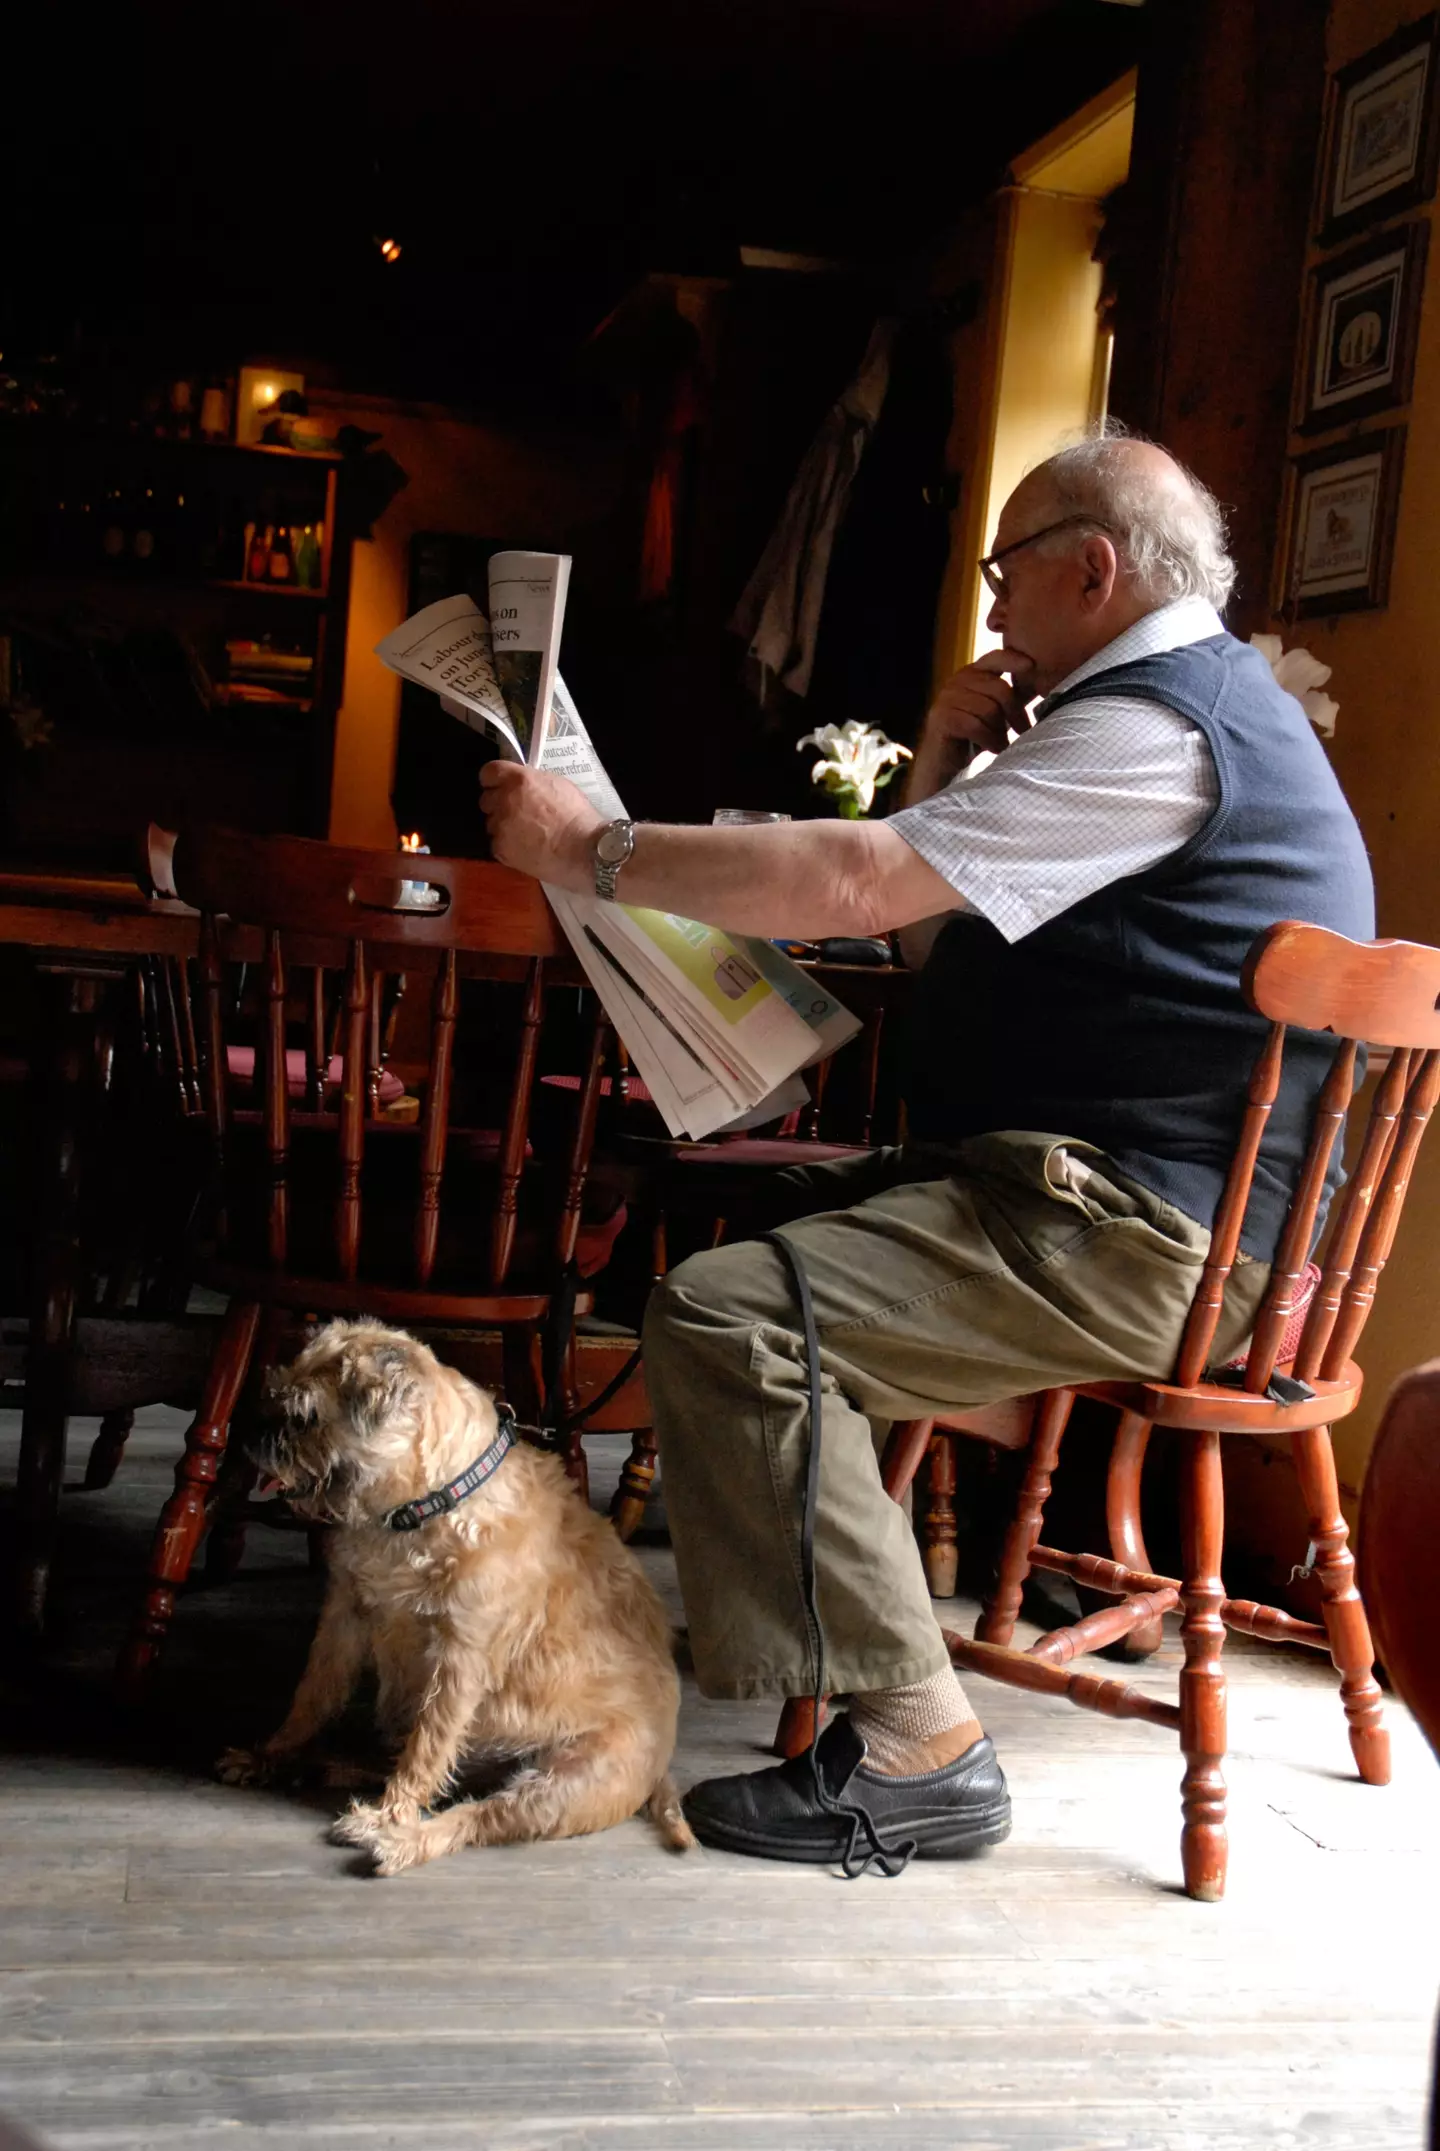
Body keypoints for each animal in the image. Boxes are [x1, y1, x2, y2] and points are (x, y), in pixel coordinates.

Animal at [216, 1307, 697, 1867]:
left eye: (305, 1416)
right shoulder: (345, 1615)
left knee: (471, 1815)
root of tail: (663, 1761)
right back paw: (329, 1768)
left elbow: (428, 1744)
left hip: (562, 1785)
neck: (425, 1502)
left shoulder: (459, 1661)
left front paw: (393, 1813)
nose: (249, 1434)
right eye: (273, 1389)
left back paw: (395, 1836)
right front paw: (270, 1755)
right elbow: (313, 1694)